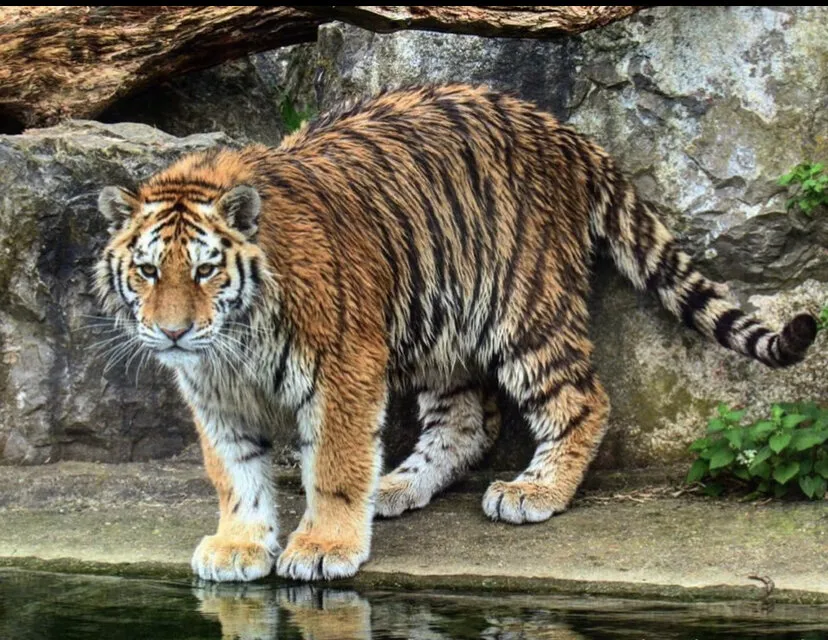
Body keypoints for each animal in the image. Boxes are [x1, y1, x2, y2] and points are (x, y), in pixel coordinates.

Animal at [95, 84, 817, 582]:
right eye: (148, 270)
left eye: (207, 270)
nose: (173, 333)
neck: (233, 342)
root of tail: (566, 132)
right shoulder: (213, 392)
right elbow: (234, 474)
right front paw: (239, 546)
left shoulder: (343, 367)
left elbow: (333, 464)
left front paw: (324, 548)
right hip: (441, 319)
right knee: (469, 422)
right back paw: (395, 487)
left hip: (524, 310)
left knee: (581, 400)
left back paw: (533, 491)